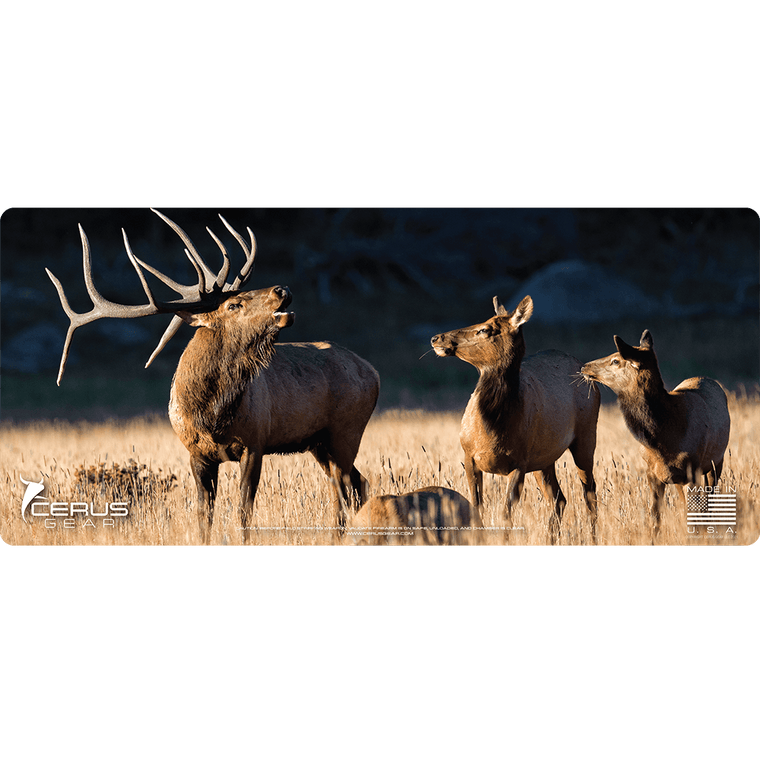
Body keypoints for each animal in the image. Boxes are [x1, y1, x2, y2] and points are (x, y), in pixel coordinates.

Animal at [46, 209, 380, 544]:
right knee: (355, 484)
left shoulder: (255, 443)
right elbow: (203, 515)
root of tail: (373, 371)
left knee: (345, 488)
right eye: (234, 303)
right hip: (320, 442)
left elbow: (243, 512)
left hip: (346, 430)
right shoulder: (196, 453)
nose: (282, 289)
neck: (211, 415)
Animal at [430, 295, 600, 543]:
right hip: (544, 459)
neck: (493, 429)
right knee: (559, 499)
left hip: (586, 436)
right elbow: (477, 508)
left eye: (485, 329)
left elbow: (505, 514)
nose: (436, 338)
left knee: (589, 493)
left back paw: (593, 538)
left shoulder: (519, 462)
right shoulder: (469, 455)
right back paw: (550, 539)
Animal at [580, 330, 730, 532]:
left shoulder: (693, 470)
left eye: (616, 360)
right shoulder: (653, 473)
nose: (584, 366)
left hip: (716, 463)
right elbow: (655, 518)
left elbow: (695, 516)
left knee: (709, 503)